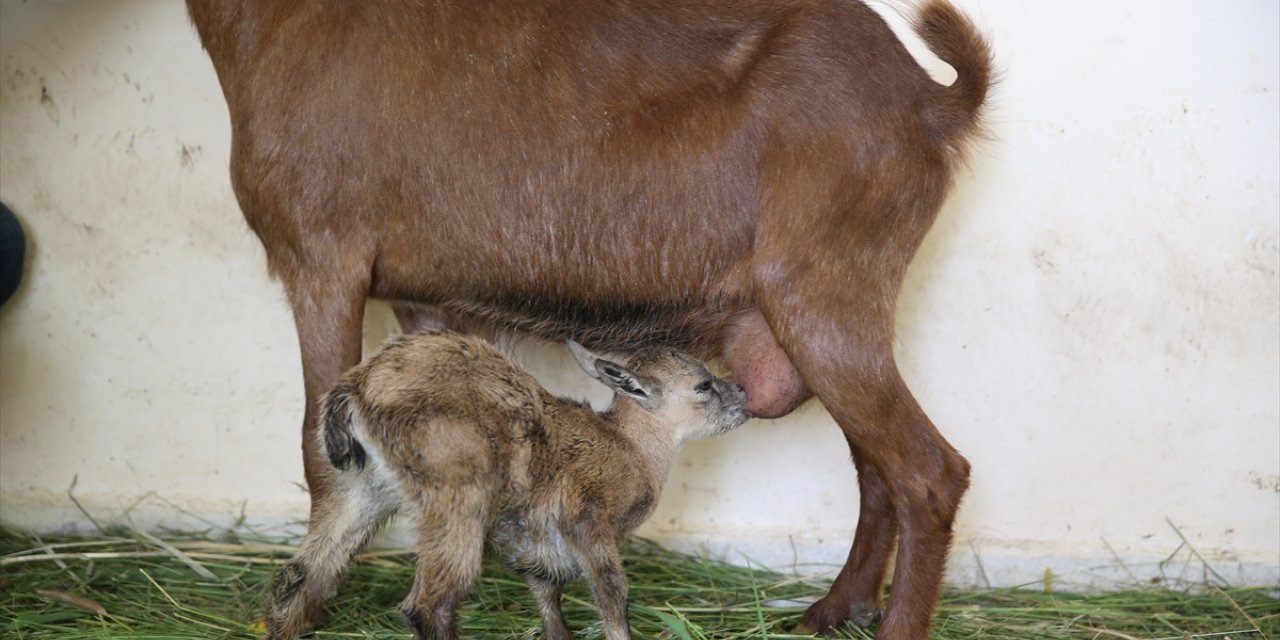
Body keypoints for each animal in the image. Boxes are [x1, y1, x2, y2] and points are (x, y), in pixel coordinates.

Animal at [185, 2, 993, 637]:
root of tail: (932, 101)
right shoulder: (424, 298)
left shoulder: (320, 258)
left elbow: (320, 455)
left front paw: (304, 612)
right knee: (876, 467)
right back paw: (833, 610)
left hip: (825, 296)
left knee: (928, 472)